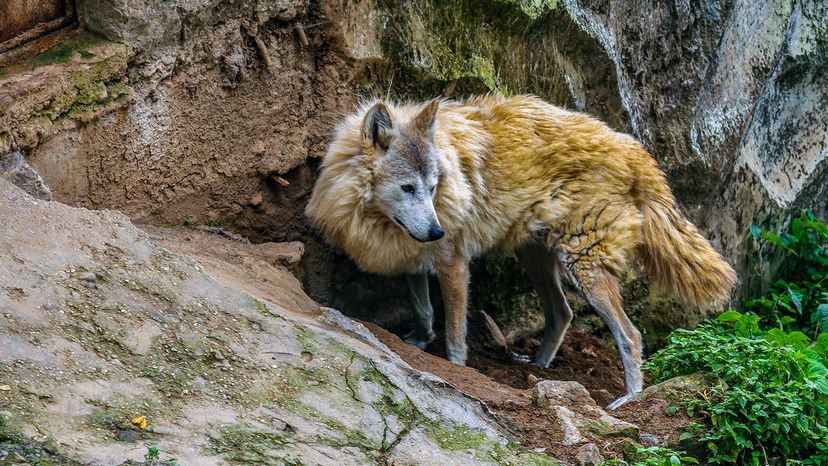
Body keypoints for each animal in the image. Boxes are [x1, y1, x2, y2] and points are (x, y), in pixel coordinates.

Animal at [306, 94, 736, 408]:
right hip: (538, 260)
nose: (437, 229)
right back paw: (541, 370)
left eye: (431, 187)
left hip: (583, 268)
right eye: (408, 188)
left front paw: (454, 369)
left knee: (630, 334)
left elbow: (456, 334)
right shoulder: (412, 252)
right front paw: (419, 340)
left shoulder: (453, 263)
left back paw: (629, 399)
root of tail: (634, 150)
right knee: (562, 314)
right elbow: (424, 310)